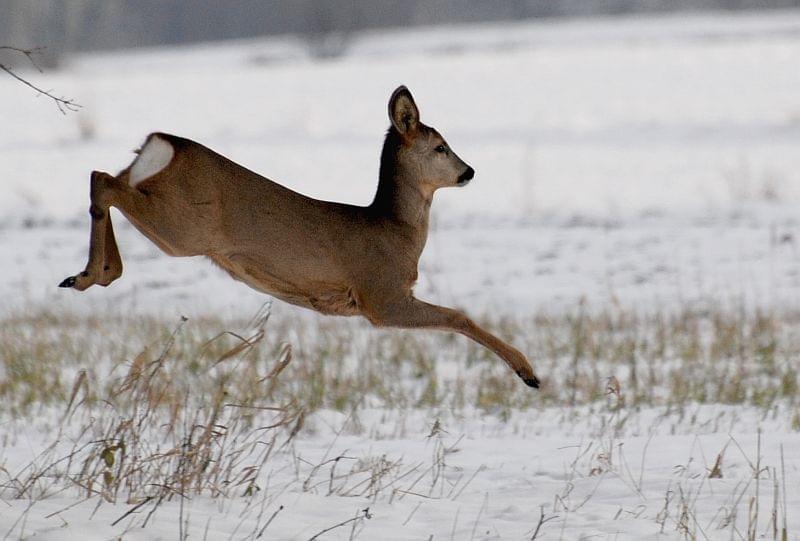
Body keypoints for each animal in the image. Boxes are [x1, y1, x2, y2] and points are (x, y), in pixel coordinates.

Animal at [59, 85, 540, 388]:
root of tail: (161, 142)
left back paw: (91, 274)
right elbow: (459, 316)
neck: (395, 232)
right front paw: (529, 373)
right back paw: (92, 273)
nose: (469, 171)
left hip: (166, 210)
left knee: (104, 176)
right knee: (102, 181)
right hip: (186, 228)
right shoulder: (380, 295)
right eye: (440, 146)